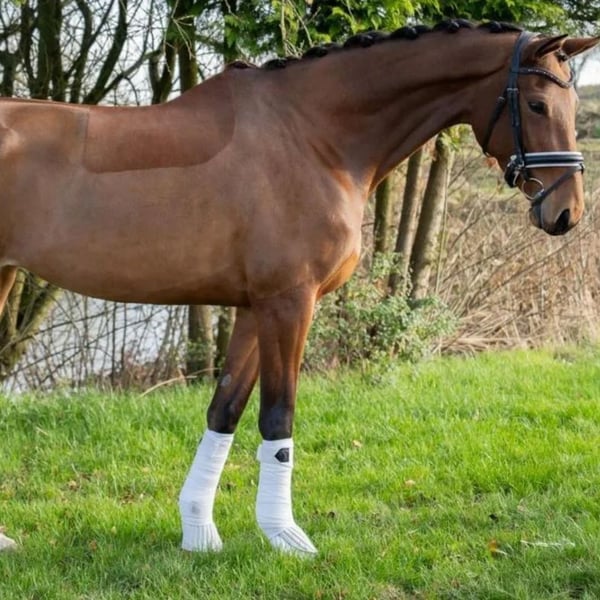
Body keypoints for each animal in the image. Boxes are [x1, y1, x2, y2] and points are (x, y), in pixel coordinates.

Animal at [0, 20, 597, 555]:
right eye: (537, 105)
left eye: (572, 107)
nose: (566, 212)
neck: (315, 137)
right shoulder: (289, 302)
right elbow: (277, 417)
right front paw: (284, 535)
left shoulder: (251, 308)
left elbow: (224, 411)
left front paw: (199, 534)